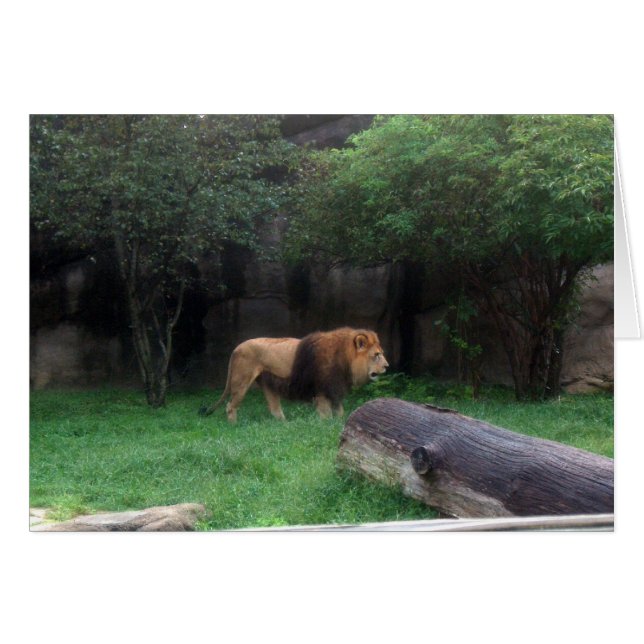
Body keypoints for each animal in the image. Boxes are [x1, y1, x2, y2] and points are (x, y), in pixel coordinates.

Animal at [199, 327, 389, 423]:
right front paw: (326, 425)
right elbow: (326, 414)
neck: (345, 359)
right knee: (230, 406)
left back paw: (283, 424)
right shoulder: (322, 390)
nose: (387, 366)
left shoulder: (334, 389)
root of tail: (237, 348)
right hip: (241, 381)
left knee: (274, 408)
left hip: (267, 383)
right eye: (376, 355)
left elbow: (340, 411)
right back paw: (234, 426)